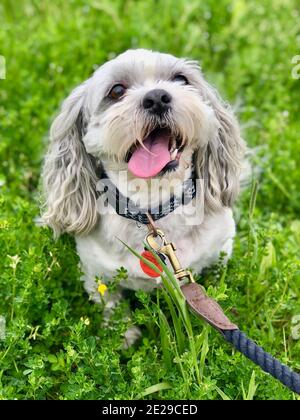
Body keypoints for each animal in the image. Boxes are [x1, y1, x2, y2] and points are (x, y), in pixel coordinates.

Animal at [41, 48, 246, 342]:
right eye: (116, 91)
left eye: (181, 79)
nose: (157, 97)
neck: (152, 208)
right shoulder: (96, 275)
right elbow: (112, 308)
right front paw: (124, 338)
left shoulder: (221, 251)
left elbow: (218, 282)